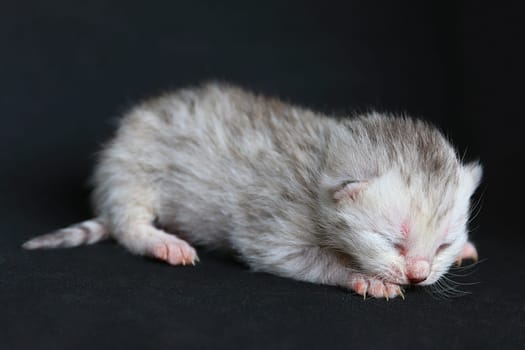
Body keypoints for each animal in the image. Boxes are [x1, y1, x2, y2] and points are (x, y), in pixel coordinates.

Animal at [23, 82, 478, 298]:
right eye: (391, 242)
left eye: (443, 245)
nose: (418, 275)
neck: (322, 156)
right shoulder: (274, 224)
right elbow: (295, 258)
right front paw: (363, 277)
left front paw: (465, 251)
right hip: (133, 165)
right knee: (128, 223)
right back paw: (161, 241)